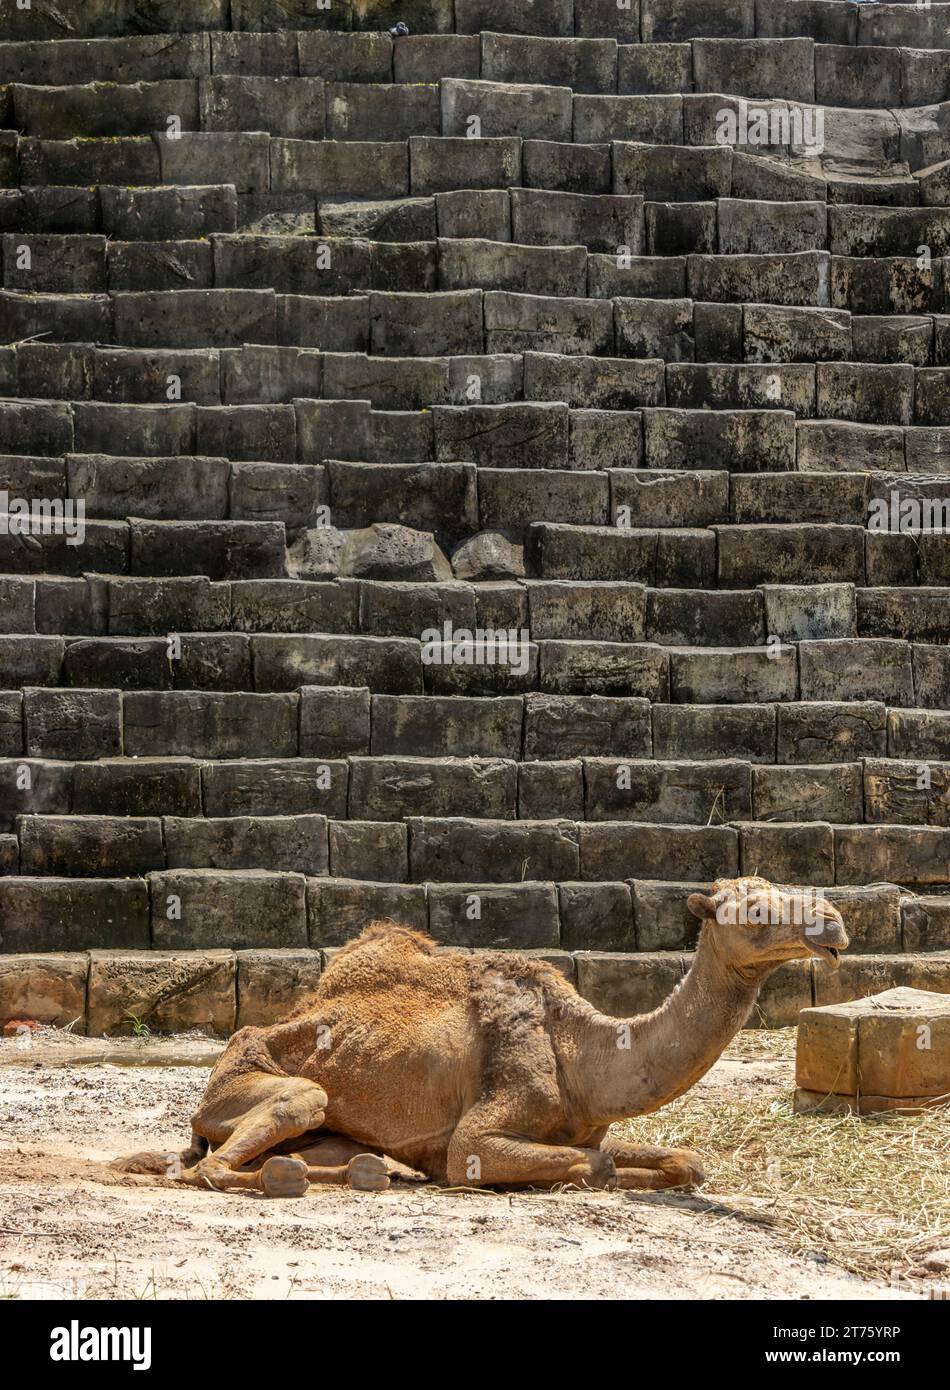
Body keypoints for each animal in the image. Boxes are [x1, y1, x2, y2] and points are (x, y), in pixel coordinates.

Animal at [116, 878, 845, 1195]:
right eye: (755, 908)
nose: (834, 923)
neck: (584, 1056)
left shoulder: (586, 1125)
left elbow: (681, 1160)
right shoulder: (484, 1129)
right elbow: (590, 1166)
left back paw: (357, 1169)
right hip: (251, 1082)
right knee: (218, 1159)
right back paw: (292, 1177)